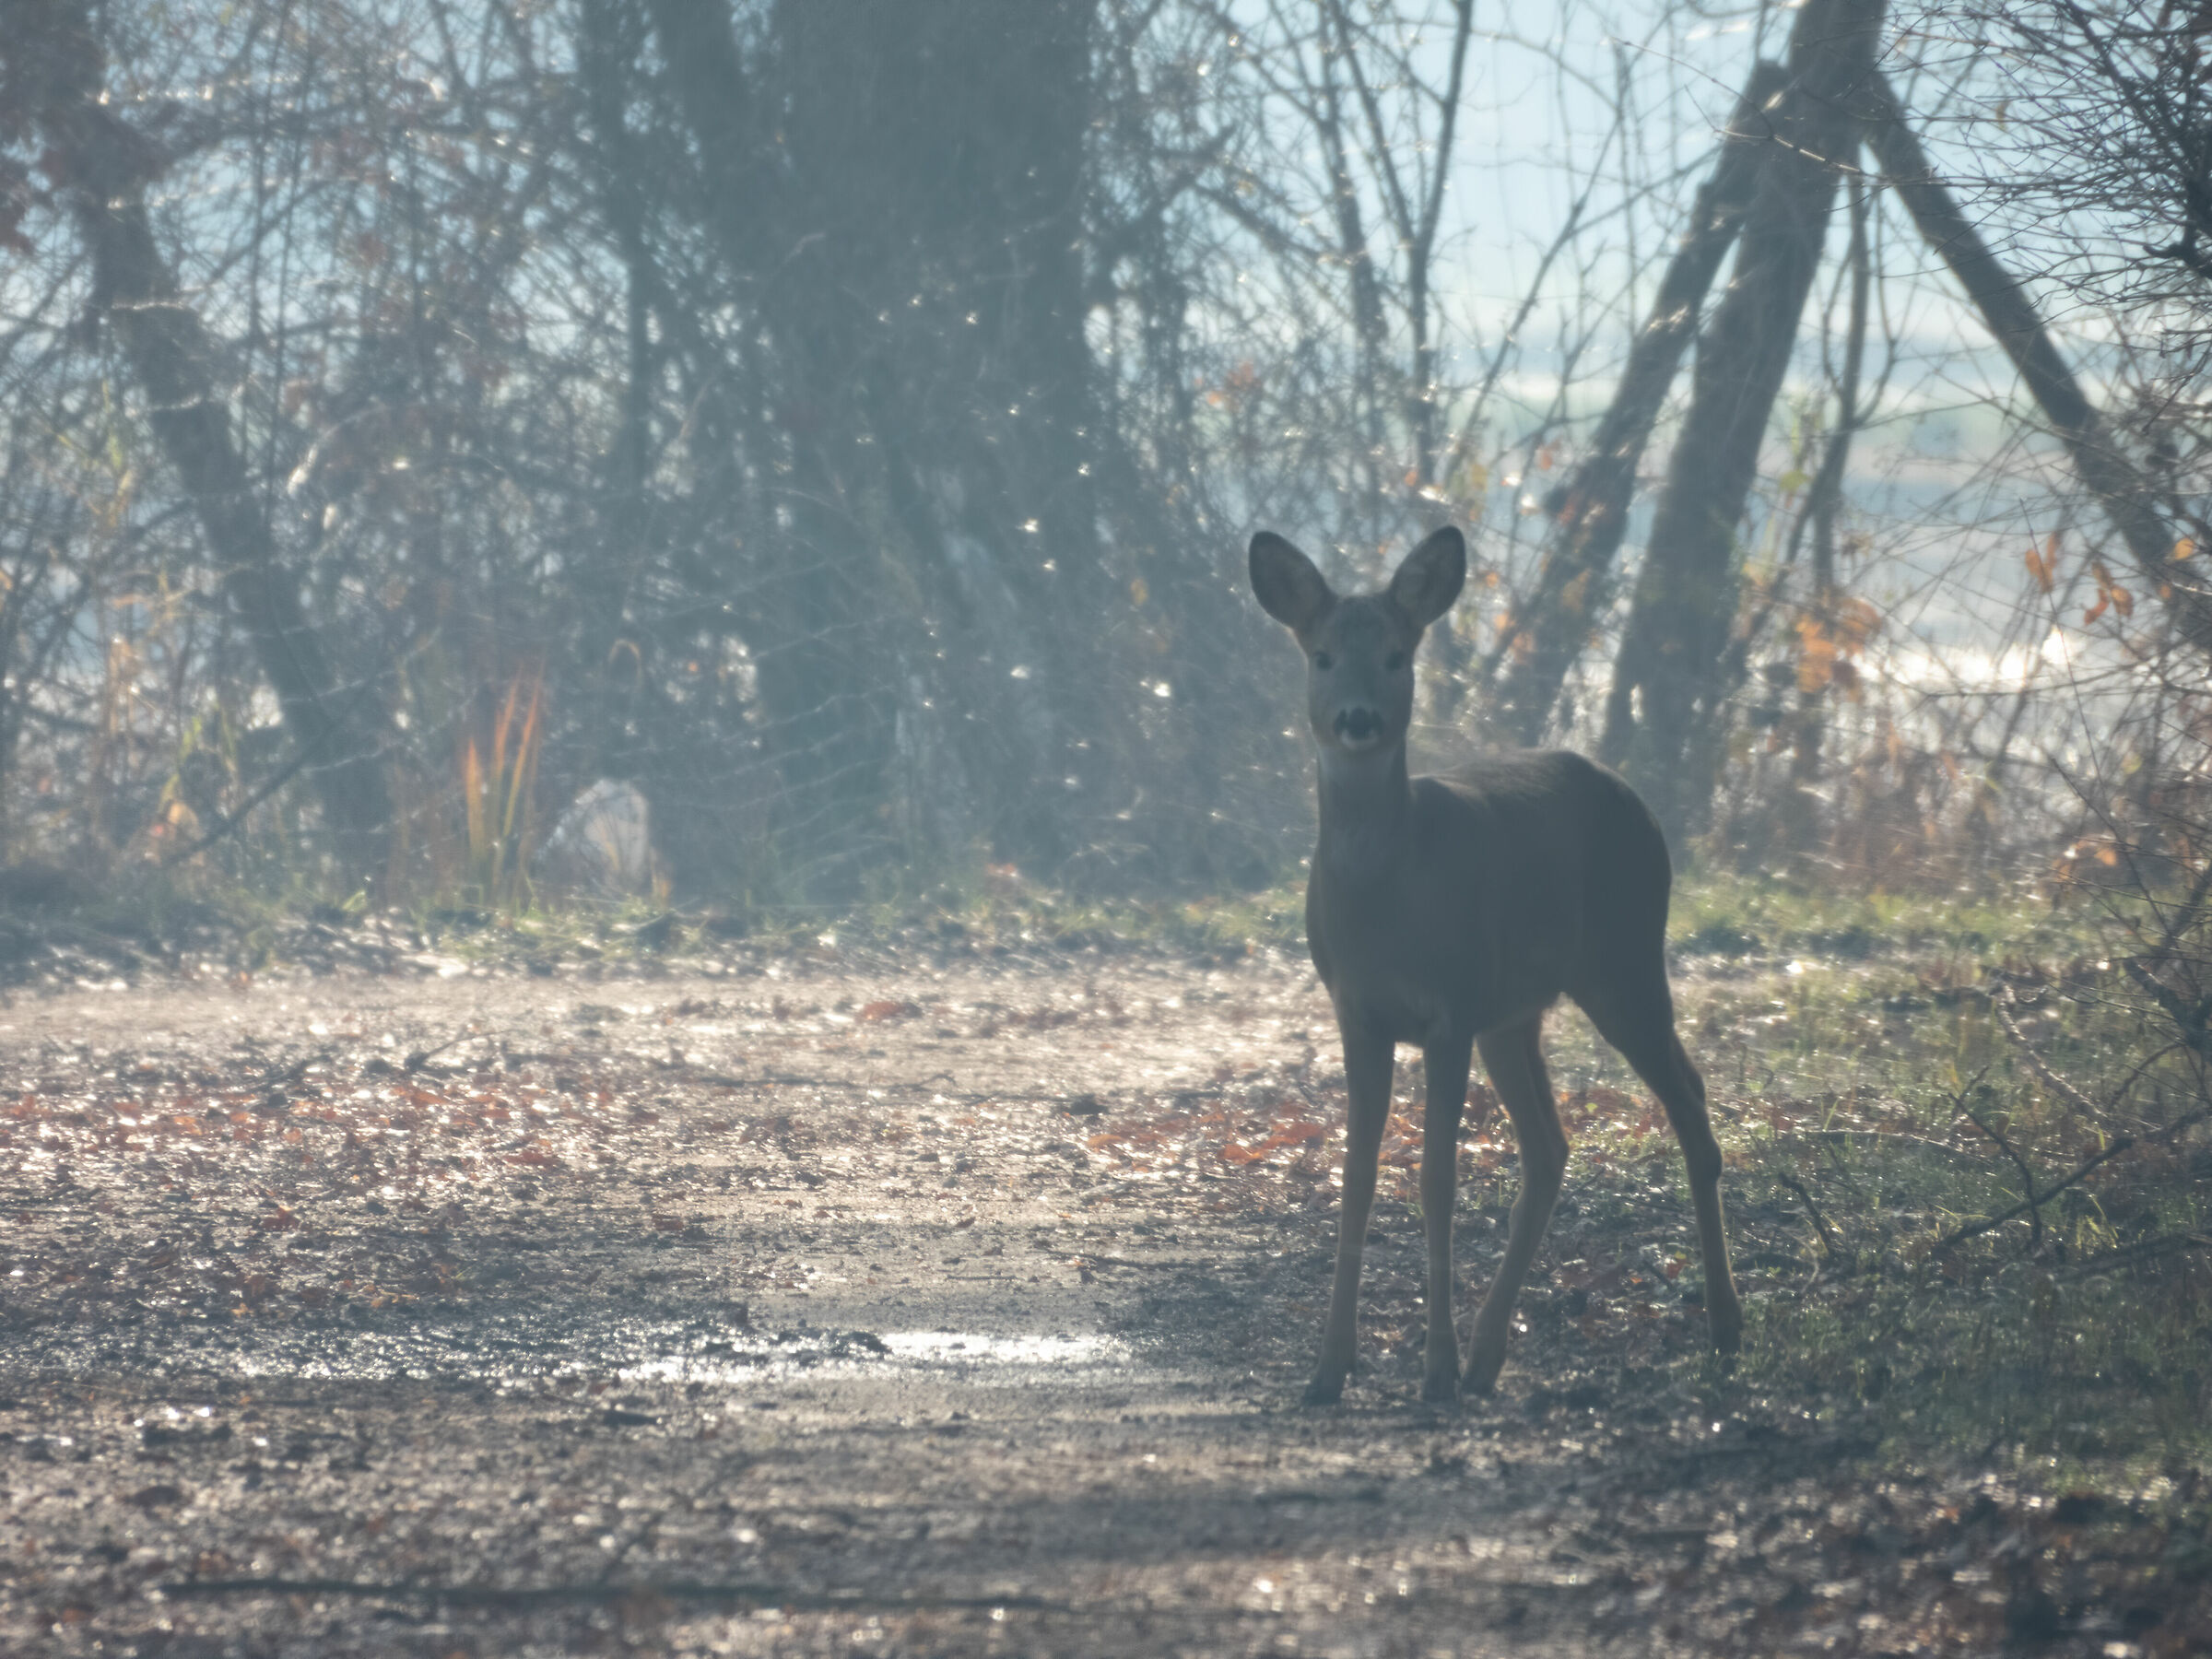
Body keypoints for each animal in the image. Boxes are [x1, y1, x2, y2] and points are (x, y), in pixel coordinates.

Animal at [1248, 525, 1743, 1405]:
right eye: (1323, 655)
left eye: (1399, 654)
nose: (1358, 719)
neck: (1390, 895)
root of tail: (1635, 800)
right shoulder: (1359, 1012)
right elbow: (1357, 1175)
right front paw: (1329, 1369)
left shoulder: (1450, 1003)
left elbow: (1436, 1180)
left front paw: (1432, 1368)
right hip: (1516, 1016)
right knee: (1551, 1148)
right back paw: (1488, 1358)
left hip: (1623, 961)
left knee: (1688, 1101)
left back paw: (1724, 1325)